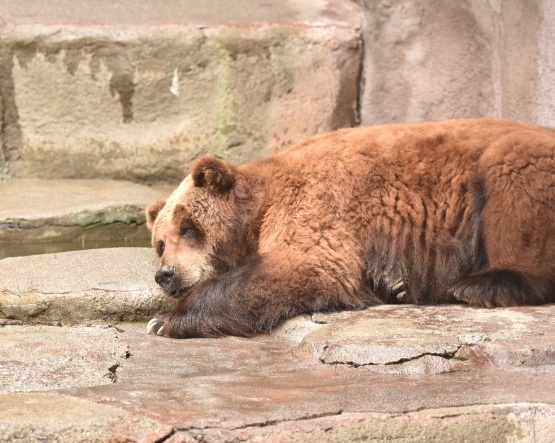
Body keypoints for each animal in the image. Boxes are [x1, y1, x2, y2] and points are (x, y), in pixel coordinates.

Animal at [147, 119, 555, 338]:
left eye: (189, 227)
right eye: (160, 243)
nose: (166, 275)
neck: (258, 209)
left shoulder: (318, 202)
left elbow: (307, 265)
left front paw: (165, 320)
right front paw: (392, 284)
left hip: (513, 164)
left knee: (513, 184)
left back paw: (480, 286)